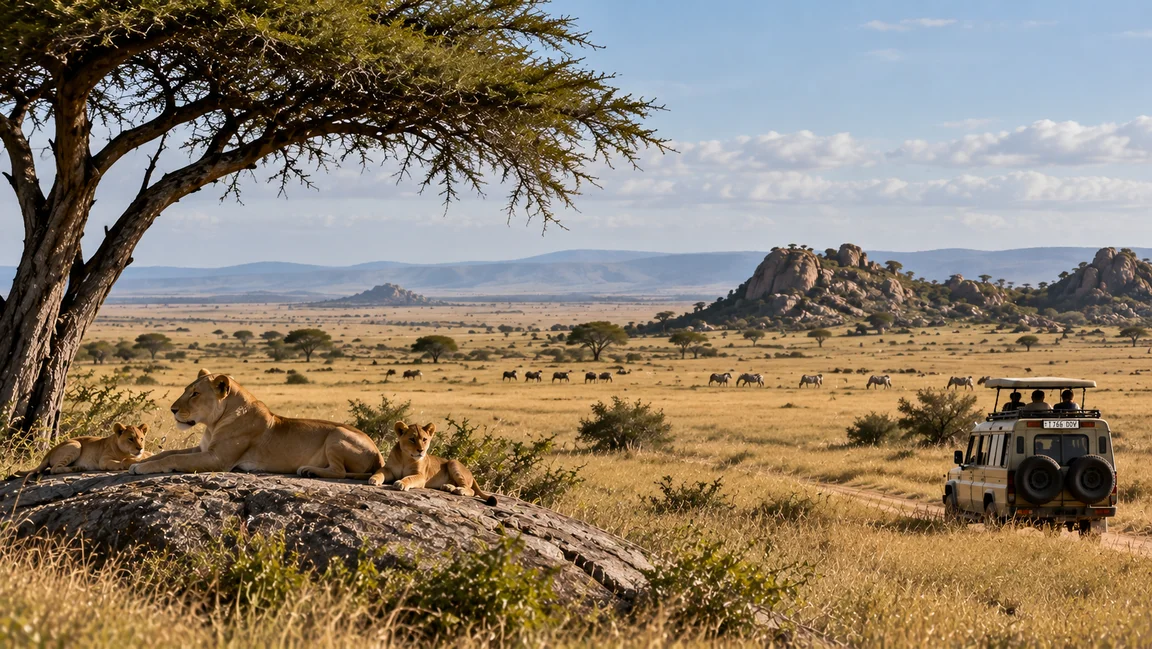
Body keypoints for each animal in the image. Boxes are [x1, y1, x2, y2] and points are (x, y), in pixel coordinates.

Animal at [10, 422, 151, 478]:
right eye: (130, 439)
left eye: (141, 438)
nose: (140, 448)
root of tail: (48, 453)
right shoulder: (104, 461)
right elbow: (121, 462)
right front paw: (129, 463)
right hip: (75, 445)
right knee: (54, 469)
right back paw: (78, 468)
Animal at [128, 369, 386, 484]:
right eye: (185, 390)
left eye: (195, 394)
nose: (172, 409)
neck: (213, 423)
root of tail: (379, 455)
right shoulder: (202, 449)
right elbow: (167, 452)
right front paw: (137, 462)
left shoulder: (218, 460)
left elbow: (174, 458)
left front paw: (141, 468)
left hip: (338, 434)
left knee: (340, 472)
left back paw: (308, 470)